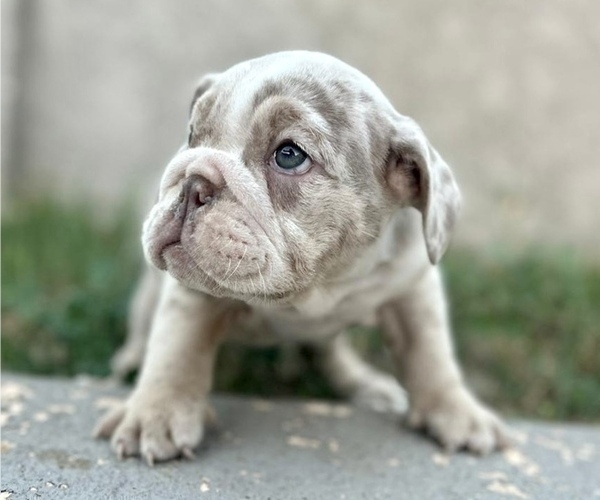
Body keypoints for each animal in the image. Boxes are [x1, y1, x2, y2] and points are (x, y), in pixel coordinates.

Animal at [96, 51, 508, 464]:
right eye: (192, 134)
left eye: (289, 155)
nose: (192, 182)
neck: (313, 287)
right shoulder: (189, 293)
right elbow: (174, 347)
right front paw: (155, 413)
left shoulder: (413, 286)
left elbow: (430, 350)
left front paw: (458, 411)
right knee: (143, 326)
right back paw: (129, 361)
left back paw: (364, 383)